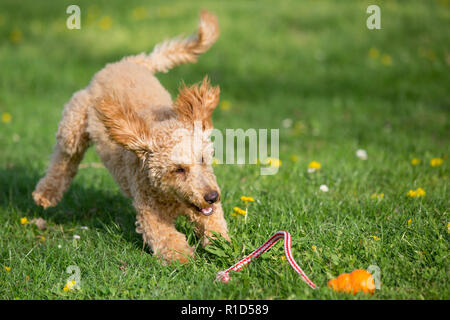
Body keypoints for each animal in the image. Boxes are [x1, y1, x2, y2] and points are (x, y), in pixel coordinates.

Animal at [32, 11, 229, 264]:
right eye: (178, 169)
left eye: (203, 159)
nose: (212, 196)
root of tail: (127, 62)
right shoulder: (150, 213)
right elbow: (169, 240)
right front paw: (187, 262)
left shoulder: (206, 207)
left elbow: (215, 225)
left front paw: (222, 248)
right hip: (73, 123)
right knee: (65, 156)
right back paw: (46, 193)